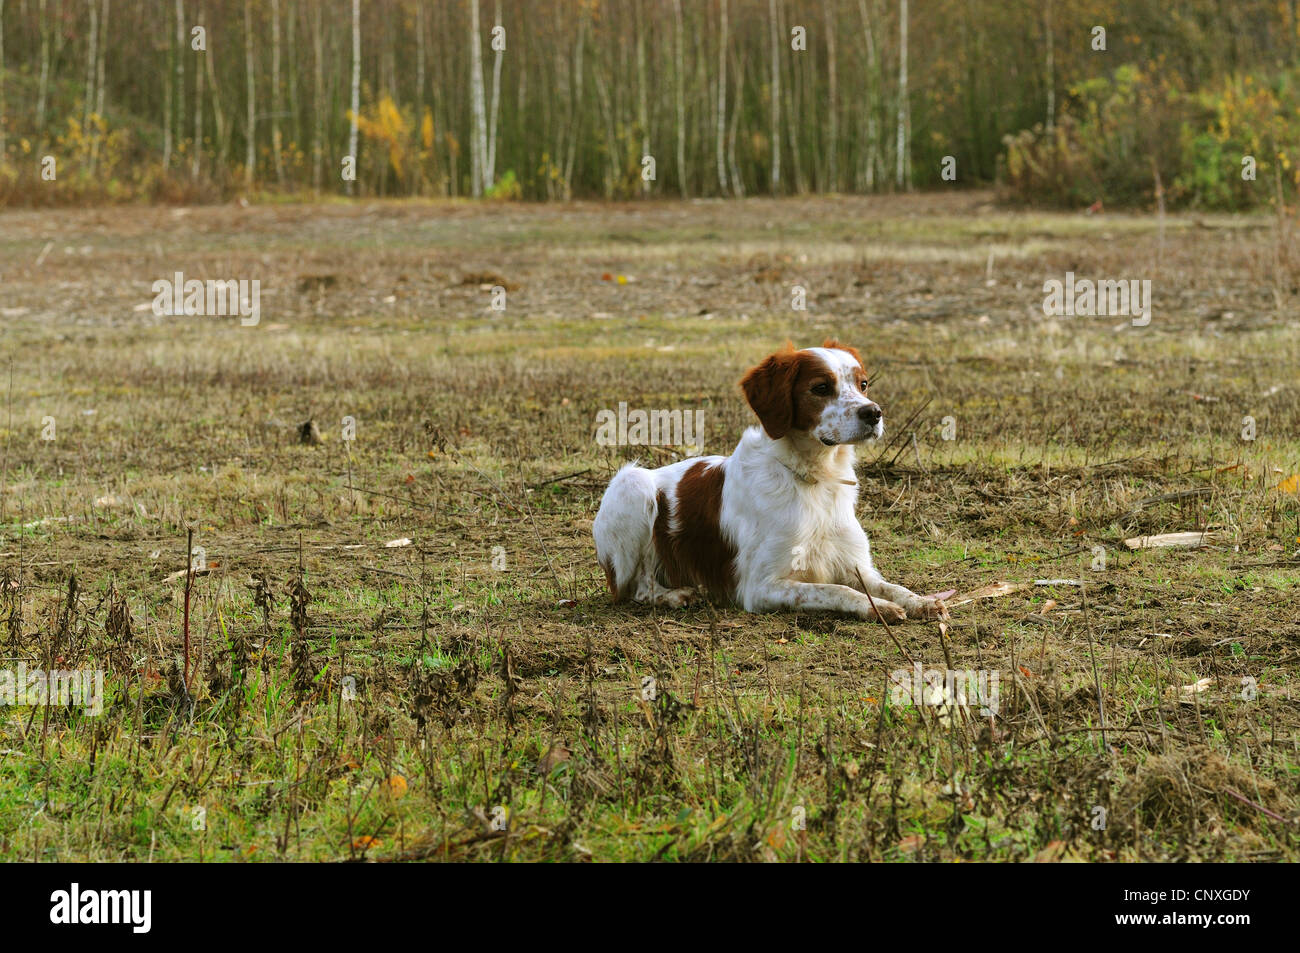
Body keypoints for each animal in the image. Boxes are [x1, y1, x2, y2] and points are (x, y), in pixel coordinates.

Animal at [592, 338, 946, 621]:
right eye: (821, 388)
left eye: (863, 384)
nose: (874, 413)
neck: (816, 478)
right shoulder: (761, 587)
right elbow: (835, 590)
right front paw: (878, 609)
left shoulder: (856, 566)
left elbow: (891, 586)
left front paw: (922, 601)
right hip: (633, 486)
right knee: (637, 588)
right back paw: (675, 595)